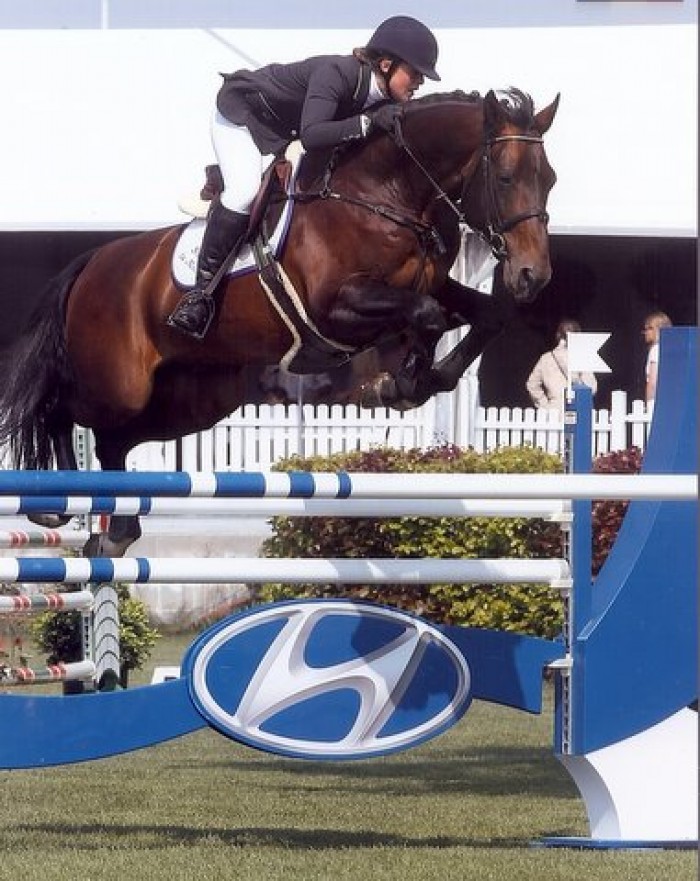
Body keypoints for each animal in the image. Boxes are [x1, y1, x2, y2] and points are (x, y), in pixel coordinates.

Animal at [0, 88, 558, 556]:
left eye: (549, 179)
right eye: (505, 178)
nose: (533, 275)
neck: (387, 194)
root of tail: (91, 262)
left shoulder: (431, 284)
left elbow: (482, 315)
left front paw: (420, 379)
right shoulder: (336, 308)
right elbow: (427, 314)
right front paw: (402, 382)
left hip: (196, 397)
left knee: (115, 440)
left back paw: (115, 530)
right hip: (118, 383)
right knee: (61, 409)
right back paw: (55, 504)